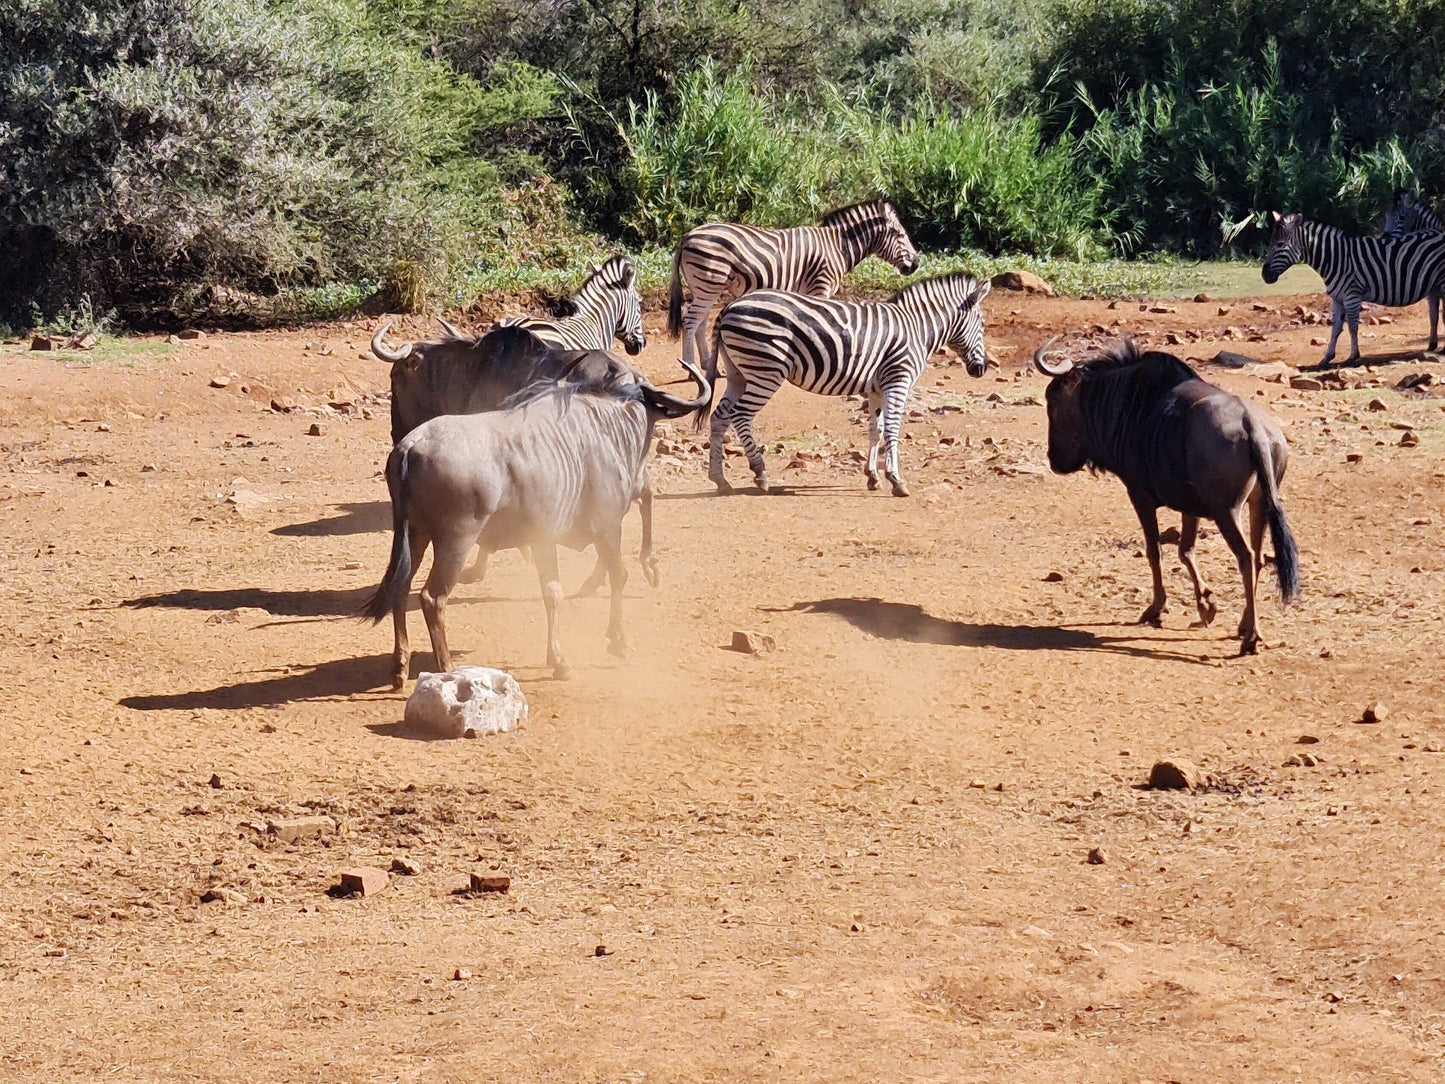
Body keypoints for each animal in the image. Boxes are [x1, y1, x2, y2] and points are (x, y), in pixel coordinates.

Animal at [667, 202, 919, 384]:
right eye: (900, 234)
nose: (916, 265)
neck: (838, 247)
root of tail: (688, 235)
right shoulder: (821, 285)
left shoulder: (808, 289)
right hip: (709, 281)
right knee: (691, 321)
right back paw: (691, 368)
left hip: (705, 286)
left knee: (700, 322)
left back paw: (707, 365)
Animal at [702, 271, 994, 497]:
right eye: (981, 324)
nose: (981, 369)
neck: (917, 328)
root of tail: (729, 307)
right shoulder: (898, 380)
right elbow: (893, 430)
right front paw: (896, 480)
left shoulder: (877, 388)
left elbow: (876, 430)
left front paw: (873, 476)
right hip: (766, 370)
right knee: (741, 415)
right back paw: (760, 473)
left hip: (739, 373)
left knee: (719, 416)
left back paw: (719, 479)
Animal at [1260, 209, 1445, 367]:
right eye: (1270, 243)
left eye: (1280, 244)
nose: (1264, 275)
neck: (1335, 258)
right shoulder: (1337, 298)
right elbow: (1335, 328)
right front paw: (1327, 357)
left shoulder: (1352, 295)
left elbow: (1352, 327)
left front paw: (1353, 356)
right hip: (1435, 285)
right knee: (1435, 314)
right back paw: (1433, 345)